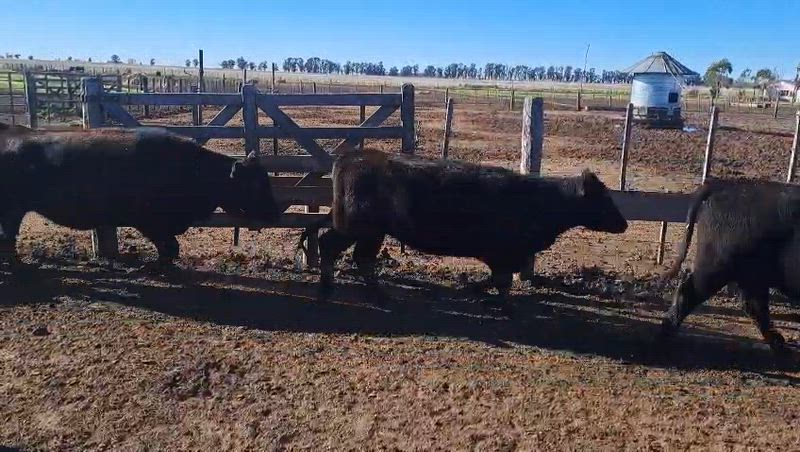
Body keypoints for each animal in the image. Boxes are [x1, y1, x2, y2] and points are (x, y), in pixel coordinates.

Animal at [0, 125, 280, 270]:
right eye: (254, 186)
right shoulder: (150, 223)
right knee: (7, 238)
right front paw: (157, 267)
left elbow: (171, 248)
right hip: (12, 209)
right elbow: (169, 248)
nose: (275, 214)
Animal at [301, 150, 628, 307]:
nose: (624, 224)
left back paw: (371, 292)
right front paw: (500, 303)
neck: (540, 200)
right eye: (604, 199)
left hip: (369, 231)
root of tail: (349, 157)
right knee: (336, 248)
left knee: (358, 257)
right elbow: (501, 281)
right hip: (358, 228)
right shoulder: (503, 252)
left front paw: (474, 290)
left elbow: (498, 280)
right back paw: (332, 288)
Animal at [661, 178, 800, 359]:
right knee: (688, 290)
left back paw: (781, 346)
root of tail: (726, 186)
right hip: (717, 266)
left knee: (754, 305)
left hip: (751, 276)